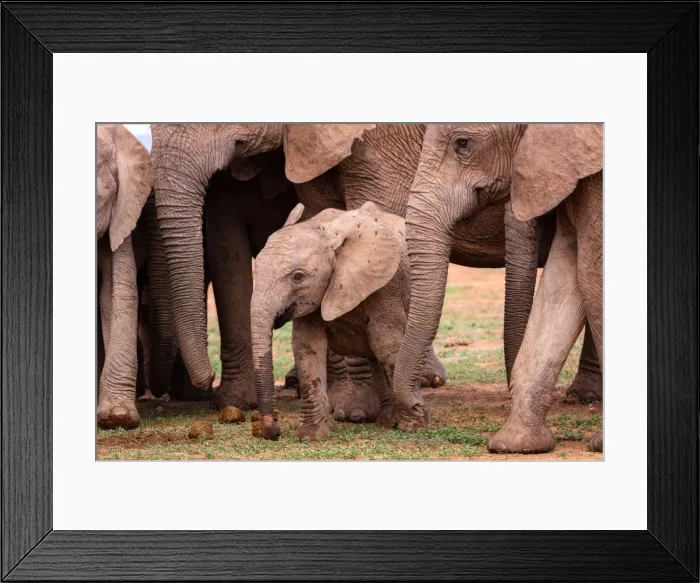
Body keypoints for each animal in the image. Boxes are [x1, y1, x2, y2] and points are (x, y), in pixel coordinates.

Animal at [251, 202, 415, 441]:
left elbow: (387, 343)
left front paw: (413, 425)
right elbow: (307, 347)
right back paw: (386, 421)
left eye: (298, 277)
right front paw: (311, 436)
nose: (273, 431)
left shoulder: (386, 286)